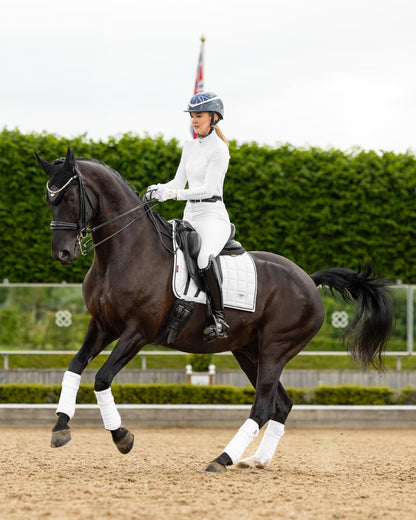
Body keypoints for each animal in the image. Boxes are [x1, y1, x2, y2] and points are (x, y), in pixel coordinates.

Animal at [35, 149, 394, 472]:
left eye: (69, 196)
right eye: (50, 199)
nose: (62, 254)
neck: (124, 252)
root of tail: (308, 279)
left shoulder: (137, 332)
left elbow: (101, 378)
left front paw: (122, 436)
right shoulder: (102, 325)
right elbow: (74, 366)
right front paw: (60, 427)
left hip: (276, 349)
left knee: (263, 406)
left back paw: (221, 460)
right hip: (249, 351)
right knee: (281, 404)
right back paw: (256, 460)